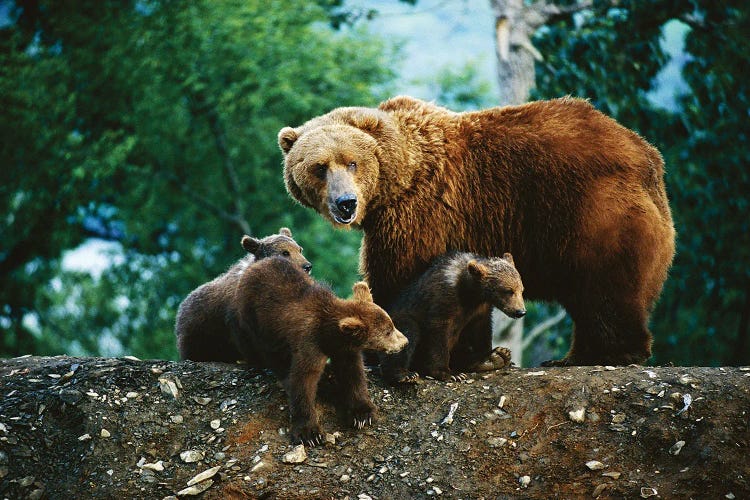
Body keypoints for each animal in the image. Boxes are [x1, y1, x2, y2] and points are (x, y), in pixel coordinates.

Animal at [280, 95, 680, 366]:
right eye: (319, 167)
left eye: (352, 162)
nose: (345, 203)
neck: (398, 178)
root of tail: (647, 155)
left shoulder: (422, 213)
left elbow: (401, 277)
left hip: (593, 212)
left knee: (605, 288)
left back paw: (606, 353)